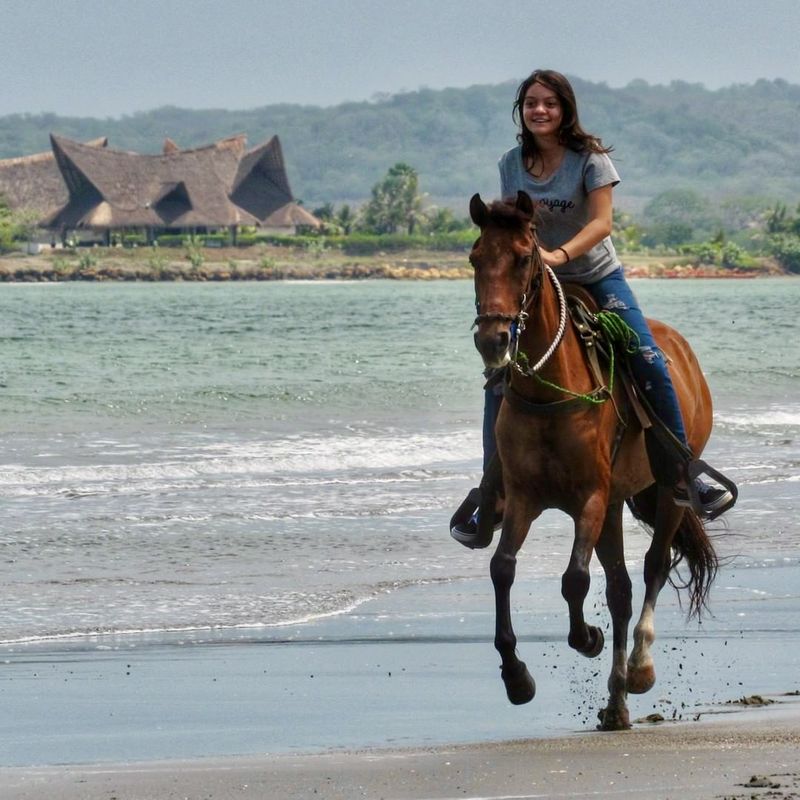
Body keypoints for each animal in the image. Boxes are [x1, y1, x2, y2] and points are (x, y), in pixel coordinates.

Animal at [466, 192, 716, 732]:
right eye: (475, 258)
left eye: (523, 258)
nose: (493, 340)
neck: (551, 390)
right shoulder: (525, 497)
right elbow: (502, 568)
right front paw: (516, 676)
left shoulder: (591, 498)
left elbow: (574, 579)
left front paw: (586, 639)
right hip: (617, 505)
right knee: (620, 589)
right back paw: (615, 703)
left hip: (665, 494)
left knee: (653, 567)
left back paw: (639, 669)